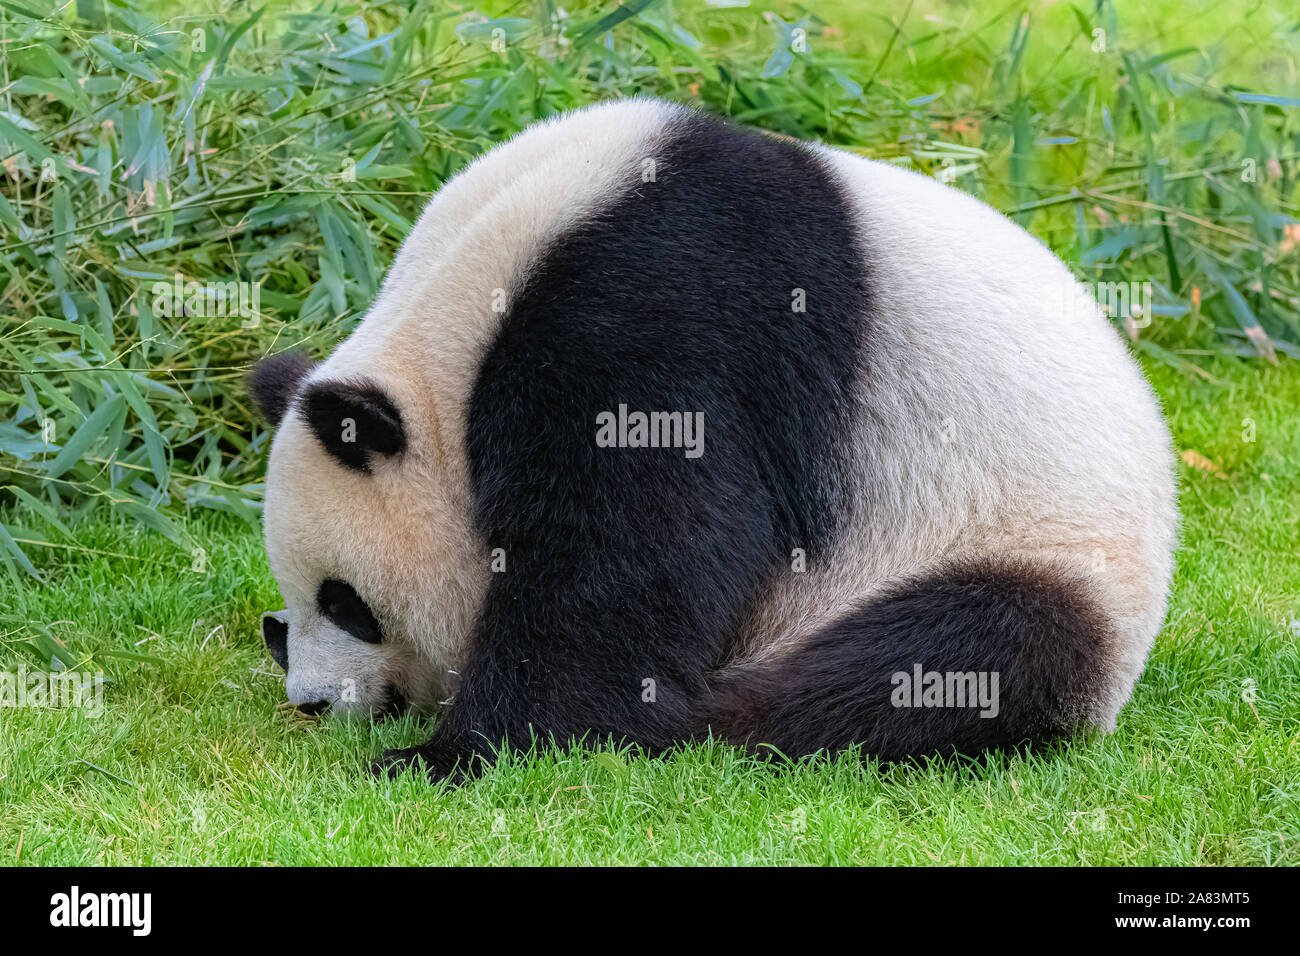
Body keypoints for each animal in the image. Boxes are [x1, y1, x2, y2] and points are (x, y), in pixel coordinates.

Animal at [248, 98, 1185, 785]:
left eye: (347, 602)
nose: (312, 700)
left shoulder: (658, 313)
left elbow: (634, 553)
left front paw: (448, 753)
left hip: (1035, 545)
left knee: (957, 652)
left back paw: (709, 717)